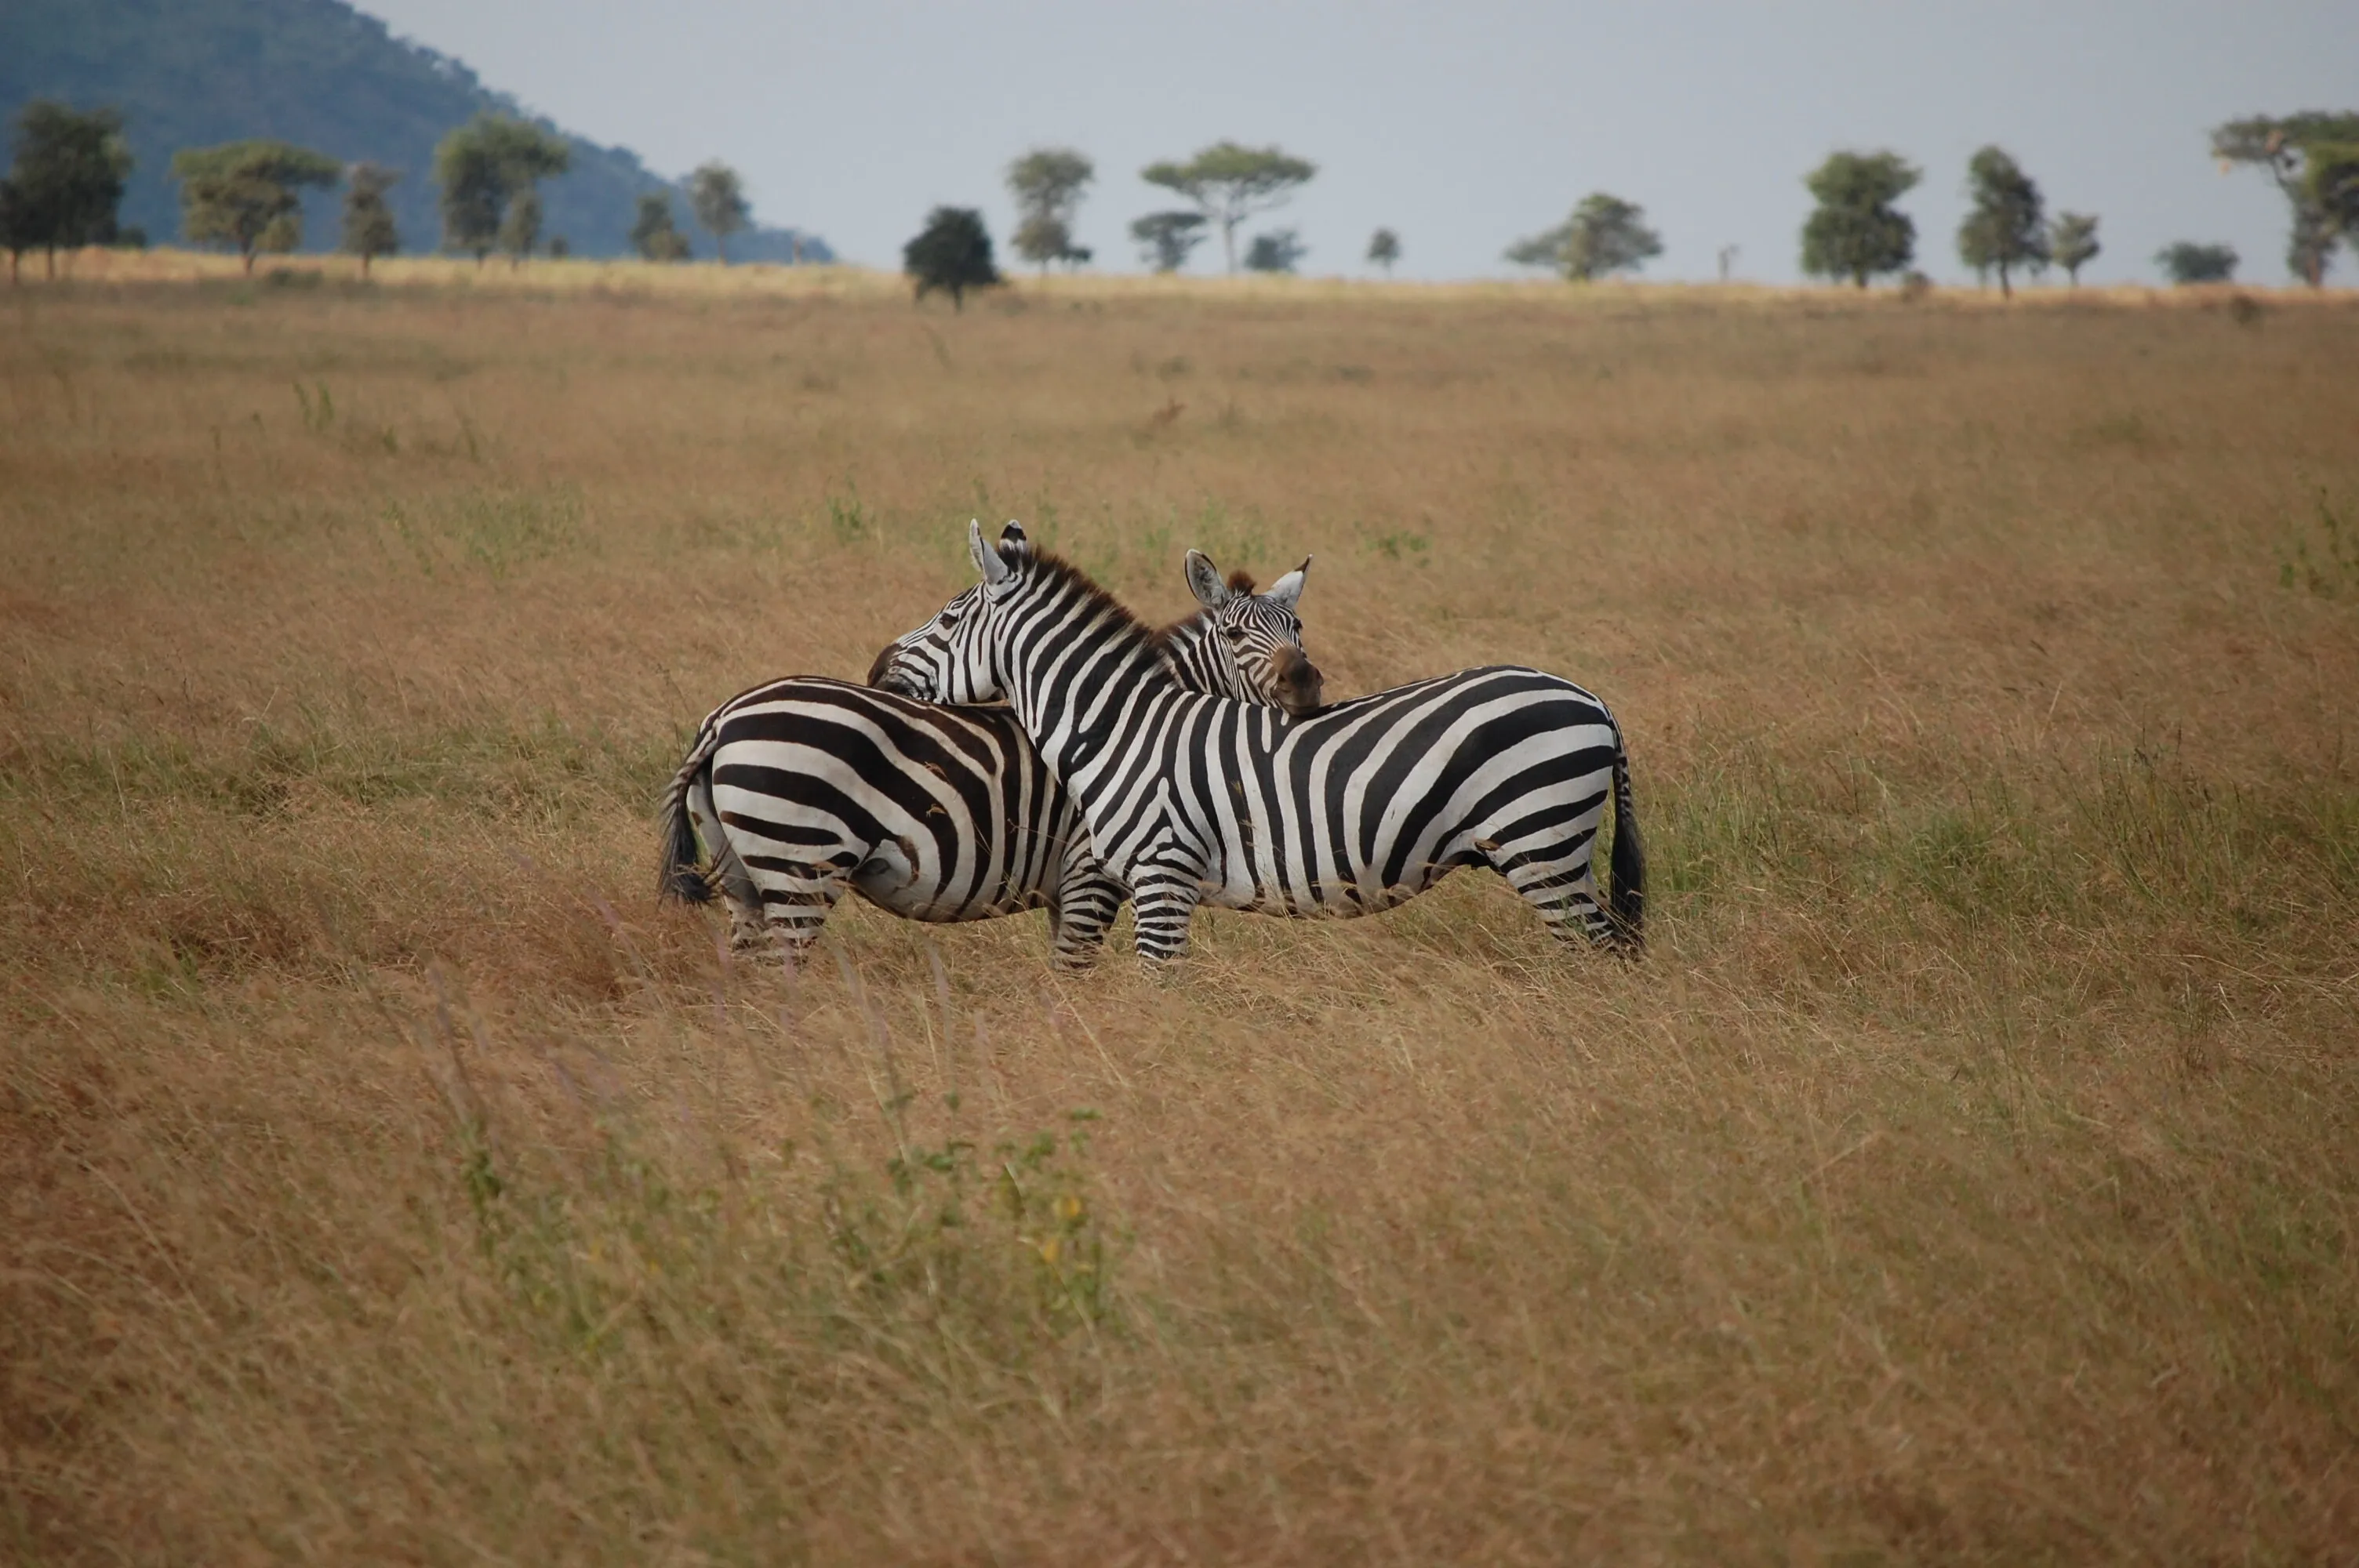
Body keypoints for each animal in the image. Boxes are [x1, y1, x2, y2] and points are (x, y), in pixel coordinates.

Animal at [656, 543, 1318, 967]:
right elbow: (1074, 970)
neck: (1130, 722)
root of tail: (723, 718)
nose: (1307, 685)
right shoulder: (1089, 872)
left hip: (743, 874)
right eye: (1234, 634)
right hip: (800, 863)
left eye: (1299, 630)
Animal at [870, 522, 1645, 962]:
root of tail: (1595, 701)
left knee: (1600, 954)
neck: (1119, 726)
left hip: (1541, 843)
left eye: (947, 618)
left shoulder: (1156, 874)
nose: (877, 668)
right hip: (1549, 849)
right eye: (1240, 633)